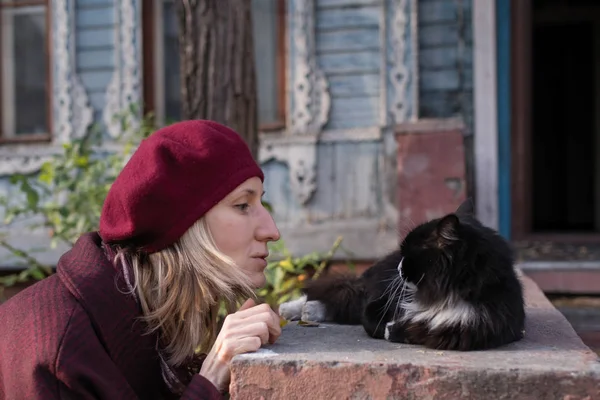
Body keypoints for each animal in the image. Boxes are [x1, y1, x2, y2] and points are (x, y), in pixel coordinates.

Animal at [278, 200, 524, 350]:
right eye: (404, 253)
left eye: (410, 255)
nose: (399, 266)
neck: (446, 294)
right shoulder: (381, 301)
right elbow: (372, 321)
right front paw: (389, 327)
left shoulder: (472, 328)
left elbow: (425, 330)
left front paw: (397, 328)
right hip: (373, 283)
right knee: (344, 294)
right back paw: (293, 309)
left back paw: (308, 312)